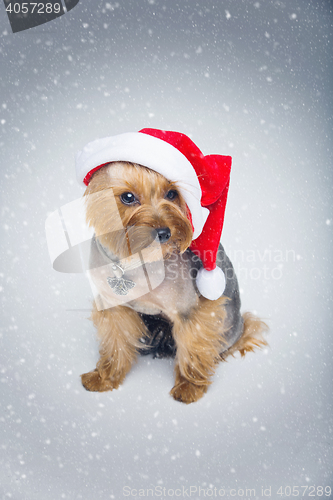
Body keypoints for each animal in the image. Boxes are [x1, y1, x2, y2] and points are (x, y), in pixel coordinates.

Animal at [78, 147, 268, 402]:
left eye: (171, 194)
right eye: (127, 197)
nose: (163, 232)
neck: (136, 261)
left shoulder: (190, 309)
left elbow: (194, 345)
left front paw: (189, 386)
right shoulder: (112, 303)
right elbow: (115, 341)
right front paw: (105, 377)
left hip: (227, 326)